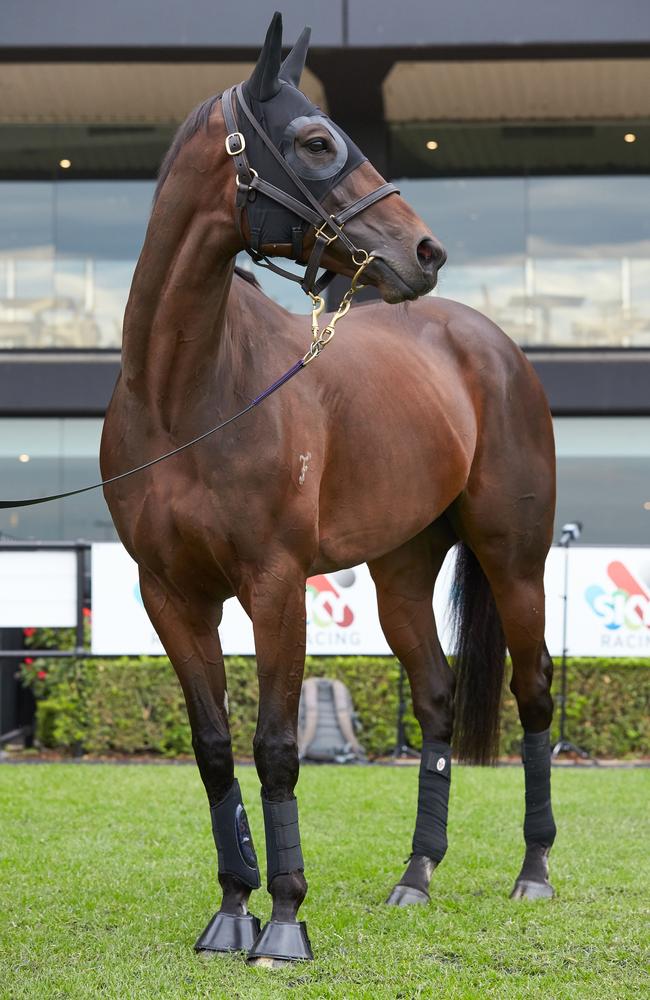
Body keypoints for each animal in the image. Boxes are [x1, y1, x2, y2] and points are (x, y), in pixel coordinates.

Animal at [101, 15, 556, 964]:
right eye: (315, 142)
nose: (425, 250)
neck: (182, 397)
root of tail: (490, 344)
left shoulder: (275, 585)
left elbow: (277, 747)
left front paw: (282, 922)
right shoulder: (170, 594)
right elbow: (213, 748)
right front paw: (231, 911)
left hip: (514, 560)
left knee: (533, 693)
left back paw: (534, 870)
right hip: (401, 574)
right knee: (436, 698)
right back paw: (416, 877)